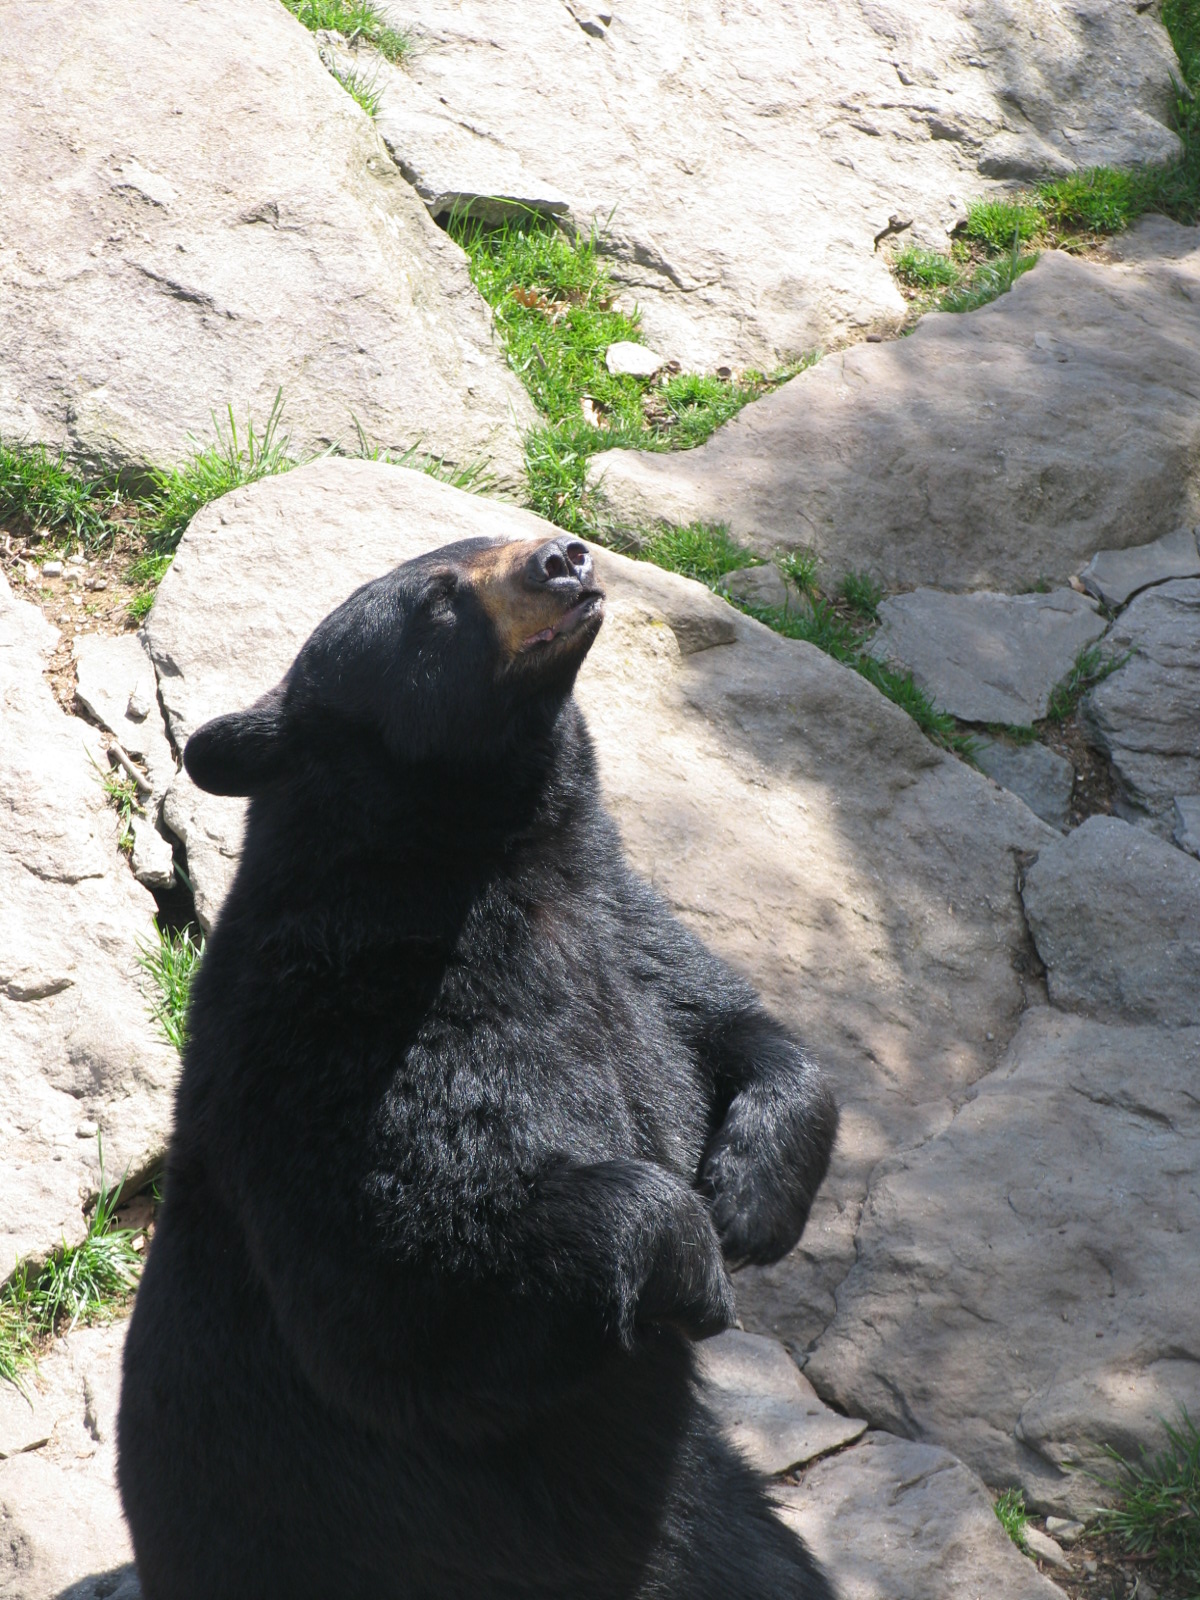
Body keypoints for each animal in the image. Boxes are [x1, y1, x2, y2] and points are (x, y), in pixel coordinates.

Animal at [117, 531, 838, 1593]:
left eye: (503, 530)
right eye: (439, 599)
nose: (563, 558)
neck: (490, 859)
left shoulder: (620, 927)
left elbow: (726, 1024)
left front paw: (751, 1201)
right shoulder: (348, 1030)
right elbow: (413, 1270)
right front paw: (696, 1267)